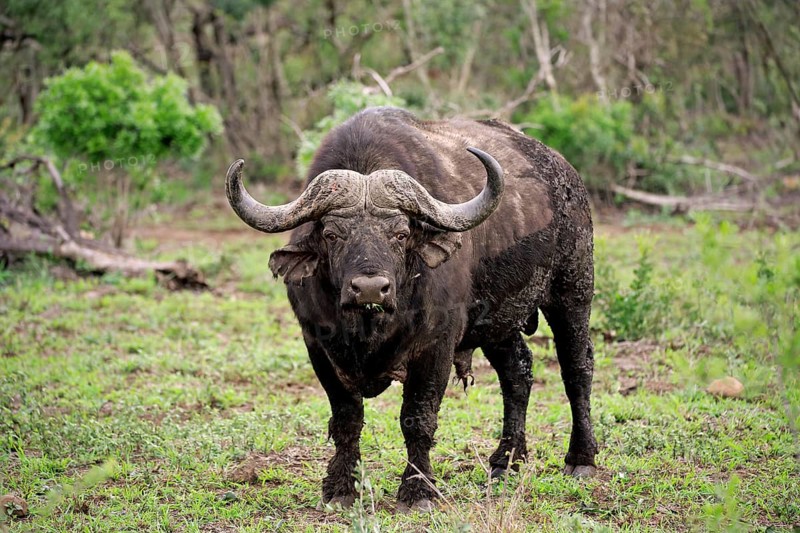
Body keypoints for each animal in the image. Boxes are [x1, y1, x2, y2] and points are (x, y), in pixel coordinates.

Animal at [225, 107, 597, 511]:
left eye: (401, 233)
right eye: (331, 234)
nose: (370, 288)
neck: (369, 326)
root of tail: (567, 174)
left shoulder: (436, 345)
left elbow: (418, 418)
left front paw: (418, 490)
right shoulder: (318, 346)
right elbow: (346, 417)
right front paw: (340, 488)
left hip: (573, 291)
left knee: (577, 369)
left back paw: (581, 458)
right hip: (499, 320)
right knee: (518, 373)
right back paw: (506, 461)